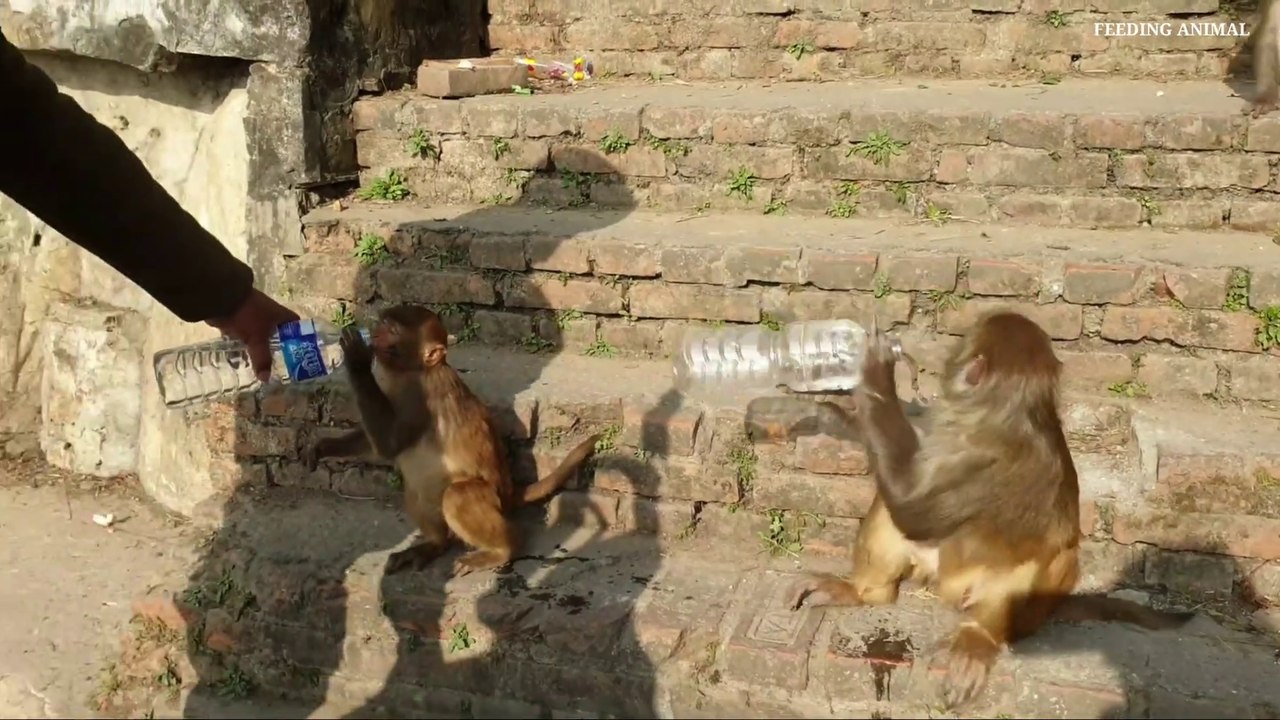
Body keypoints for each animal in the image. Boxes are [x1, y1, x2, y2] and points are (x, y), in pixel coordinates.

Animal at [305, 304, 601, 576]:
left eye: (392, 330)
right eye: (382, 323)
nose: (375, 334)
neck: (412, 371)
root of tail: (509, 493)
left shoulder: (419, 398)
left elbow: (389, 444)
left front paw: (356, 358)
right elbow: (375, 443)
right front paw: (323, 447)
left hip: (493, 502)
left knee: (458, 495)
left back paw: (502, 550)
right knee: (417, 489)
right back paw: (434, 545)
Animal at [786, 310, 1193, 710]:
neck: (1011, 413)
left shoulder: (977, 459)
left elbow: (911, 510)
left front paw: (873, 374)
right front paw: (840, 412)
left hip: (1002, 600)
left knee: (1039, 562)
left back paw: (979, 636)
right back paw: (864, 593)